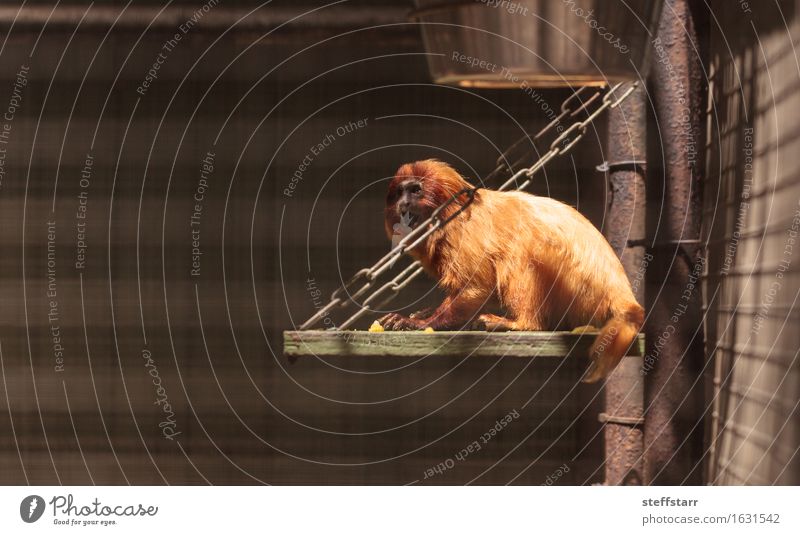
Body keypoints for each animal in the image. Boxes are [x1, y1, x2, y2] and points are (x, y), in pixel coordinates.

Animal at [378, 157, 648, 384]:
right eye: (400, 192)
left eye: (416, 190)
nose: (403, 203)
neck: (446, 216)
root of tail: (619, 290)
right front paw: (419, 314)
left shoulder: (463, 234)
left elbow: (478, 285)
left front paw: (423, 323)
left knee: (522, 251)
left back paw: (522, 323)